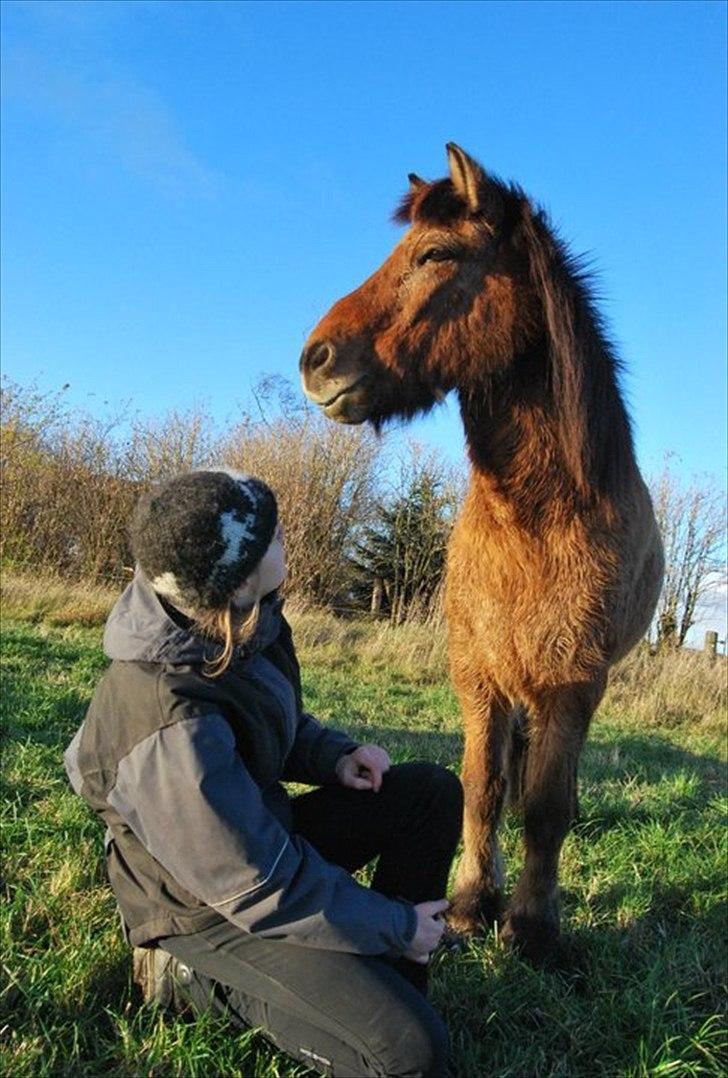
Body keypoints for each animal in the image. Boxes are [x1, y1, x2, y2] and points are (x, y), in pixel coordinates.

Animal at [299, 143, 664, 961]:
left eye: (437, 253)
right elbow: (484, 787)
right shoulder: (477, 674)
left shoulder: (573, 684)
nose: (315, 360)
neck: (532, 522)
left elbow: (548, 807)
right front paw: (471, 902)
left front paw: (530, 926)